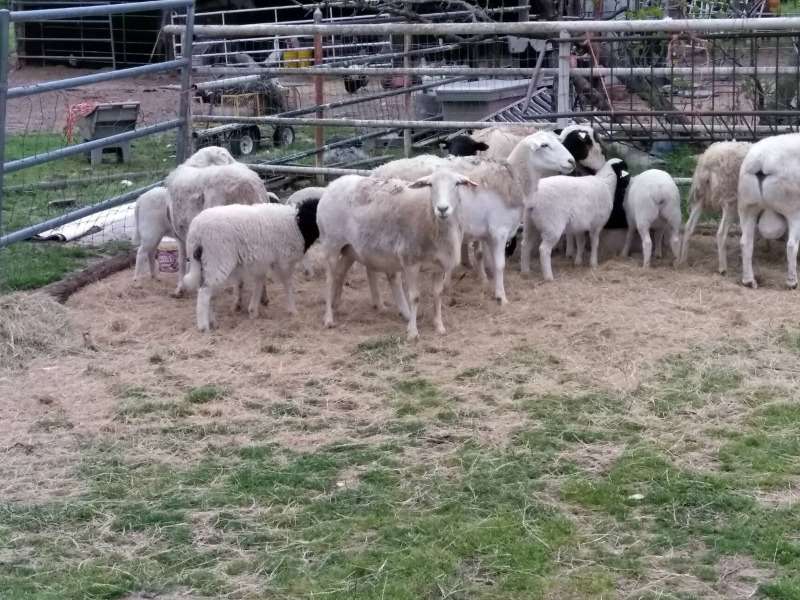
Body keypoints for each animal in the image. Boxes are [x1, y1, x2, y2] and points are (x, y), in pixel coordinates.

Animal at [182, 198, 320, 332]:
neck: (297, 223)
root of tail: (196, 231)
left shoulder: (262, 262)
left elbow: (259, 282)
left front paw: (253, 311)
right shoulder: (283, 262)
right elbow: (288, 285)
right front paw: (293, 310)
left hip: (203, 264)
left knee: (207, 291)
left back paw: (213, 322)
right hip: (217, 259)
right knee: (204, 293)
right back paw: (204, 327)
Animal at [316, 170, 474, 340]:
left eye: (457, 184)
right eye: (430, 184)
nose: (442, 209)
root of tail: (331, 185)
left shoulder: (439, 265)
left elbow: (437, 294)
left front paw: (439, 326)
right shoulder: (411, 261)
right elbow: (415, 296)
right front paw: (413, 332)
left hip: (349, 249)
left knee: (340, 273)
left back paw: (336, 305)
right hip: (331, 244)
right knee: (329, 280)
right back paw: (328, 318)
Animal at [373, 130, 576, 304]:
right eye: (544, 145)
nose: (571, 161)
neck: (513, 179)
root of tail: (378, 171)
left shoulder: (486, 234)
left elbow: (486, 259)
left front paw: (488, 283)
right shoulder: (499, 231)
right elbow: (499, 264)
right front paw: (501, 297)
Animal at [679, 141, 752, 274]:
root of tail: (708, 159)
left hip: (700, 197)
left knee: (688, 227)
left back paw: (682, 261)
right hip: (730, 199)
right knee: (721, 233)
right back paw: (723, 268)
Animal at [738, 132, 800, 288]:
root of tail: (761, 160)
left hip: (747, 207)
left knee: (745, 242)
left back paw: (749, 280)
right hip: (793, 209)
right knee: (791, 245)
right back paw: (792, 282)